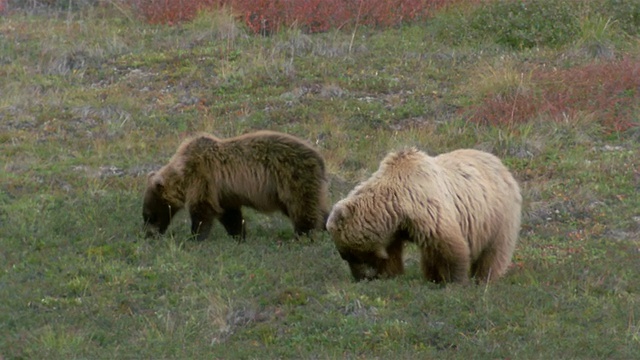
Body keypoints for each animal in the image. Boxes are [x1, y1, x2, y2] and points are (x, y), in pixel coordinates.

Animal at [142, 130, 328, 242]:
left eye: (149, 215)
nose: (148, 235)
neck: (183, 173)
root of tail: (319, 158)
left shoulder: (203, 178)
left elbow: (202, 210)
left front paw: (195, 237)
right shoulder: (223, 193)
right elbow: (231, 216)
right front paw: (238, 236)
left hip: (293, 177)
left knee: (302, 207)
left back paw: (303, 235)